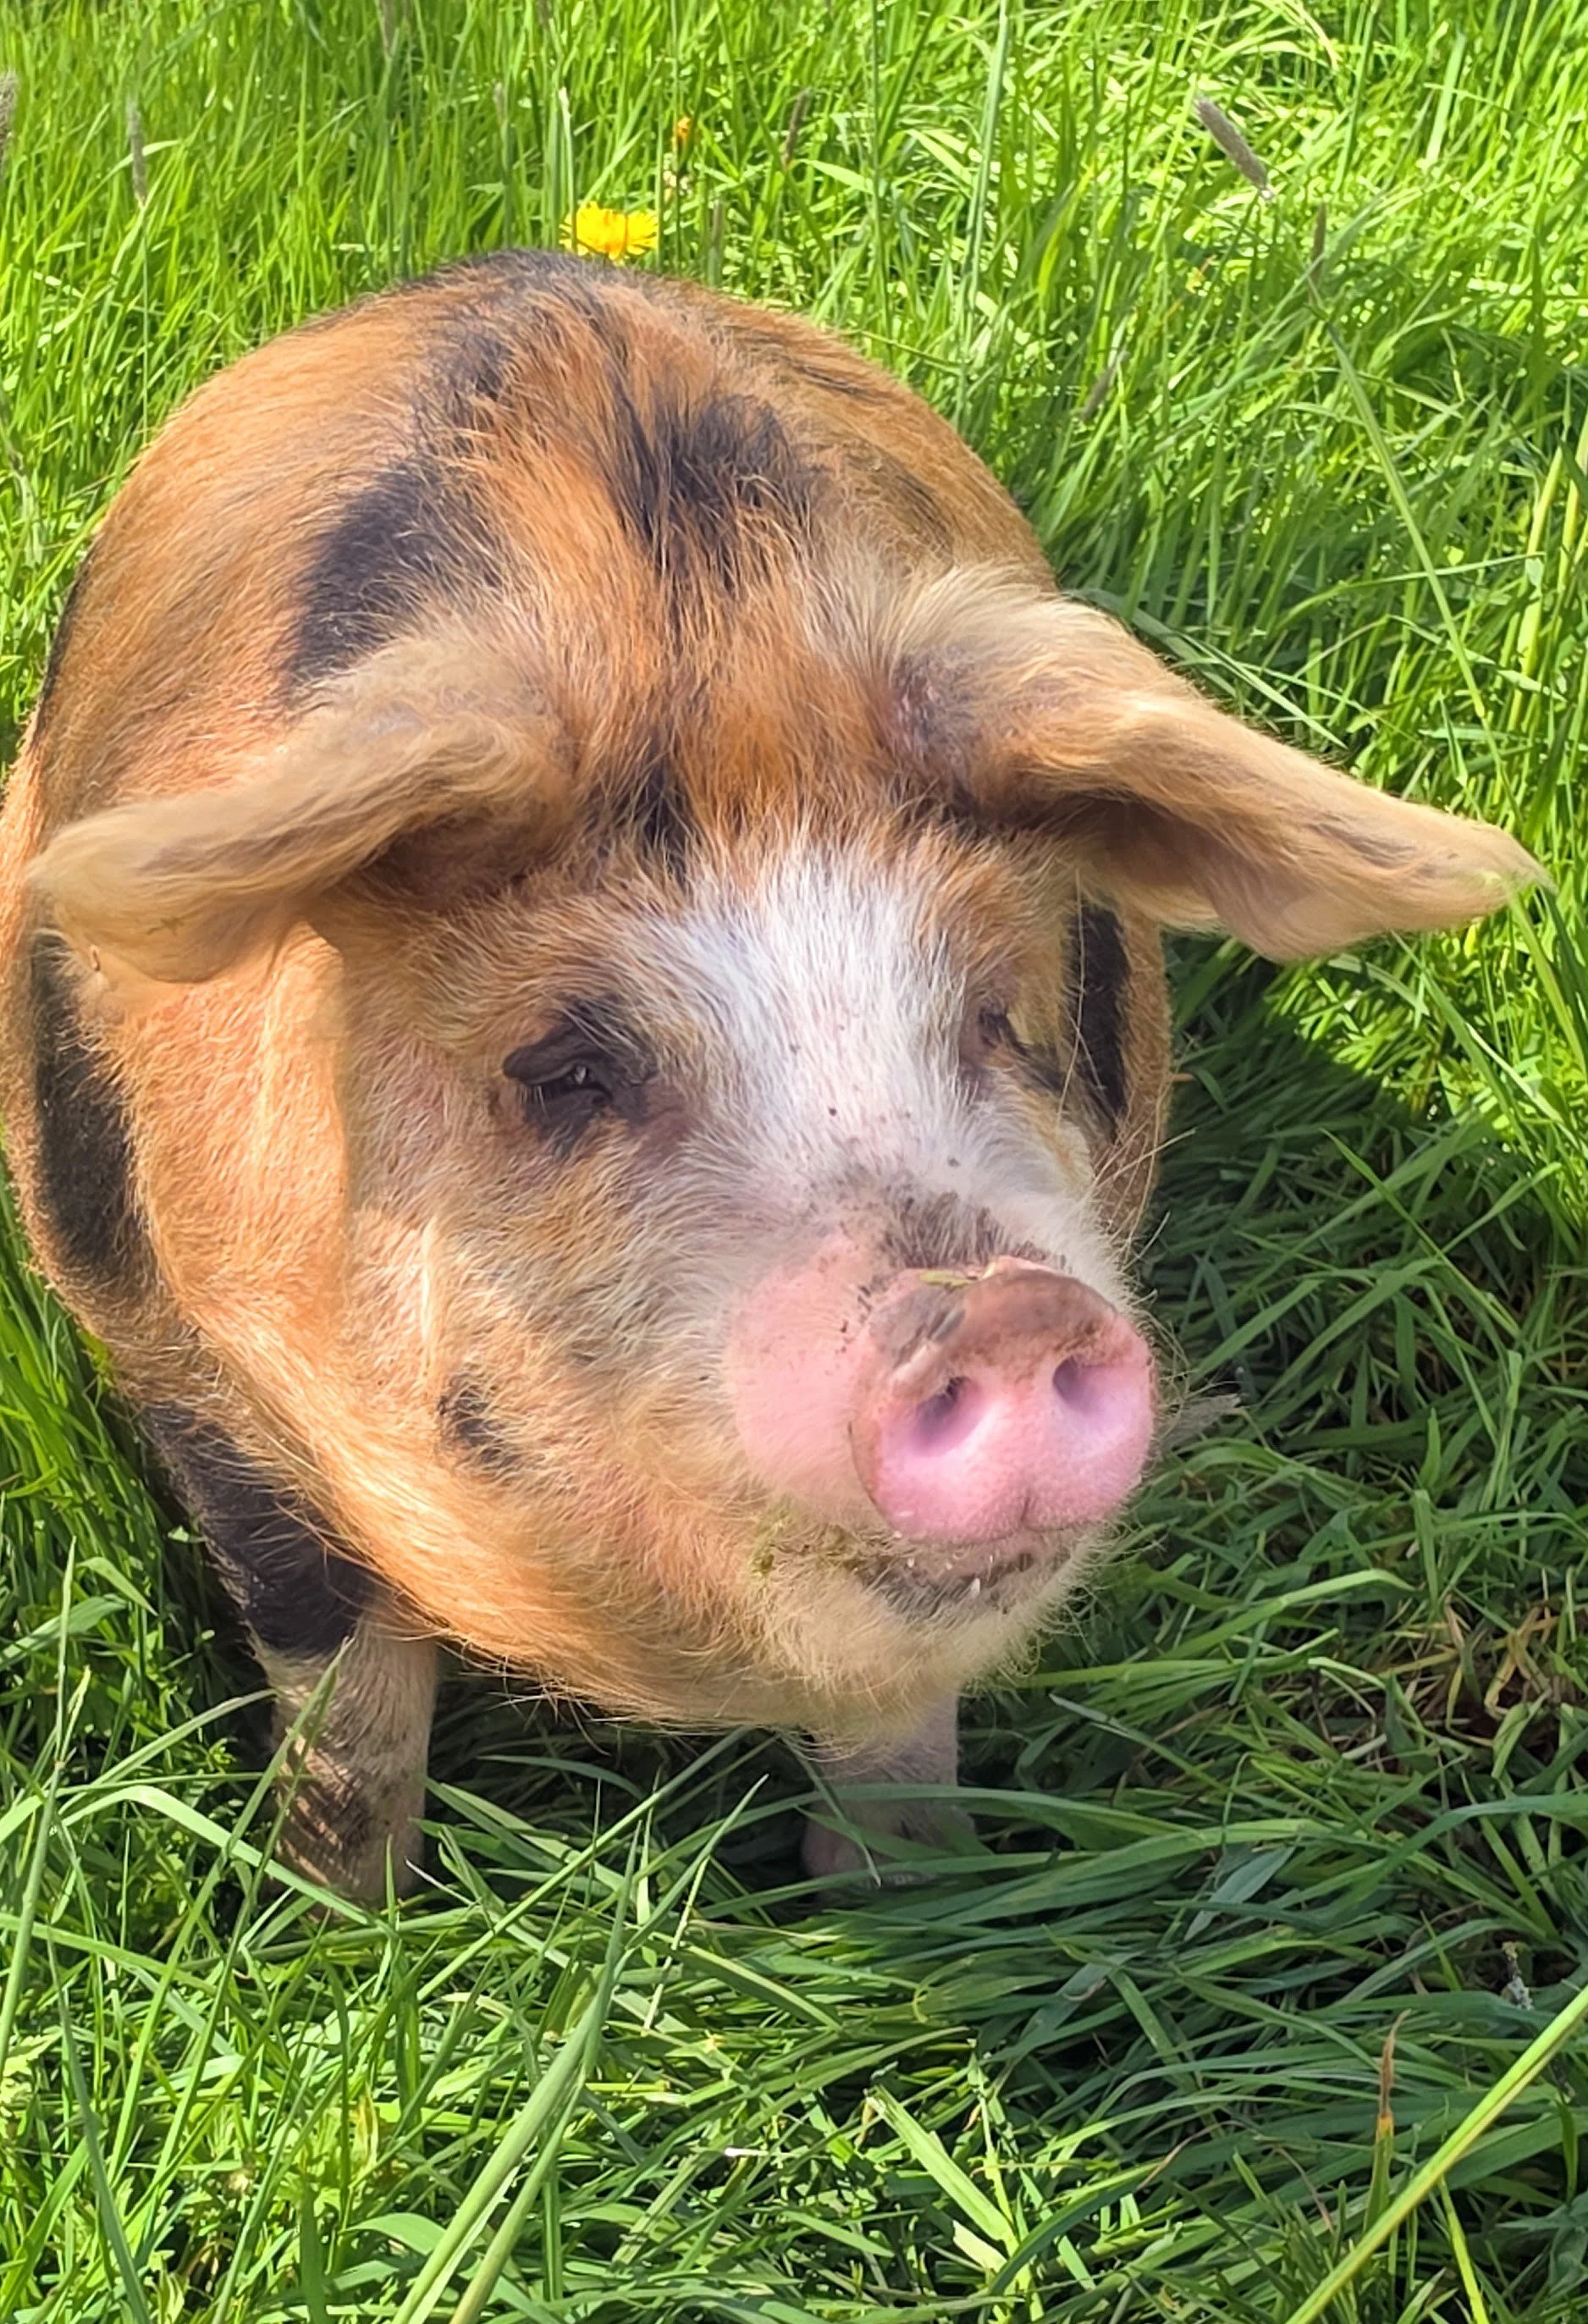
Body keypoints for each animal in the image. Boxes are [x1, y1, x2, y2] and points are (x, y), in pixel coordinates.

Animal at [0, 251, 1539, 1898]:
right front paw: (338, 1922)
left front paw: (915, 1902)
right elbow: (344, 1698)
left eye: (996, 1016)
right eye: (565, 1067)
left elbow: (896, 1719)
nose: (998, 1309)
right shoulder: (179, 1358)